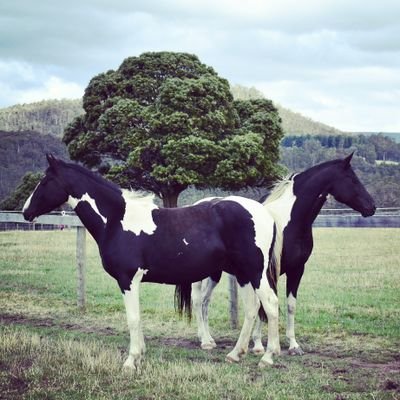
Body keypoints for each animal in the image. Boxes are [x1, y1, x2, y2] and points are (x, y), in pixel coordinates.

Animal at [22, 154, 284, 368]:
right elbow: (137, 318)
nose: (26, 212)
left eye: (44, 181)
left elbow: (133, 318)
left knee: (270, 304)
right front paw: (140, 354)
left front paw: (131, 361)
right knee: (252, 308)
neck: (116, 220)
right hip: (243, 274)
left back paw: (268, 357)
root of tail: (265, 213)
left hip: (255, 272)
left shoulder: (127, 280)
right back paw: (235, 353)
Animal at [192, 153, 376, 354]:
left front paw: (293, 345)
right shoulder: (266, 272)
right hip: (204, 274)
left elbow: (289, 305)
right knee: (199, 300)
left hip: (214, 273)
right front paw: (259, 345)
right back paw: (205, 340)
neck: (286, 223)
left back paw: (208, 338)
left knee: (205, 302)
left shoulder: (296, 270)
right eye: (352, 179)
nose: (372, 207)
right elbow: (263, 306)